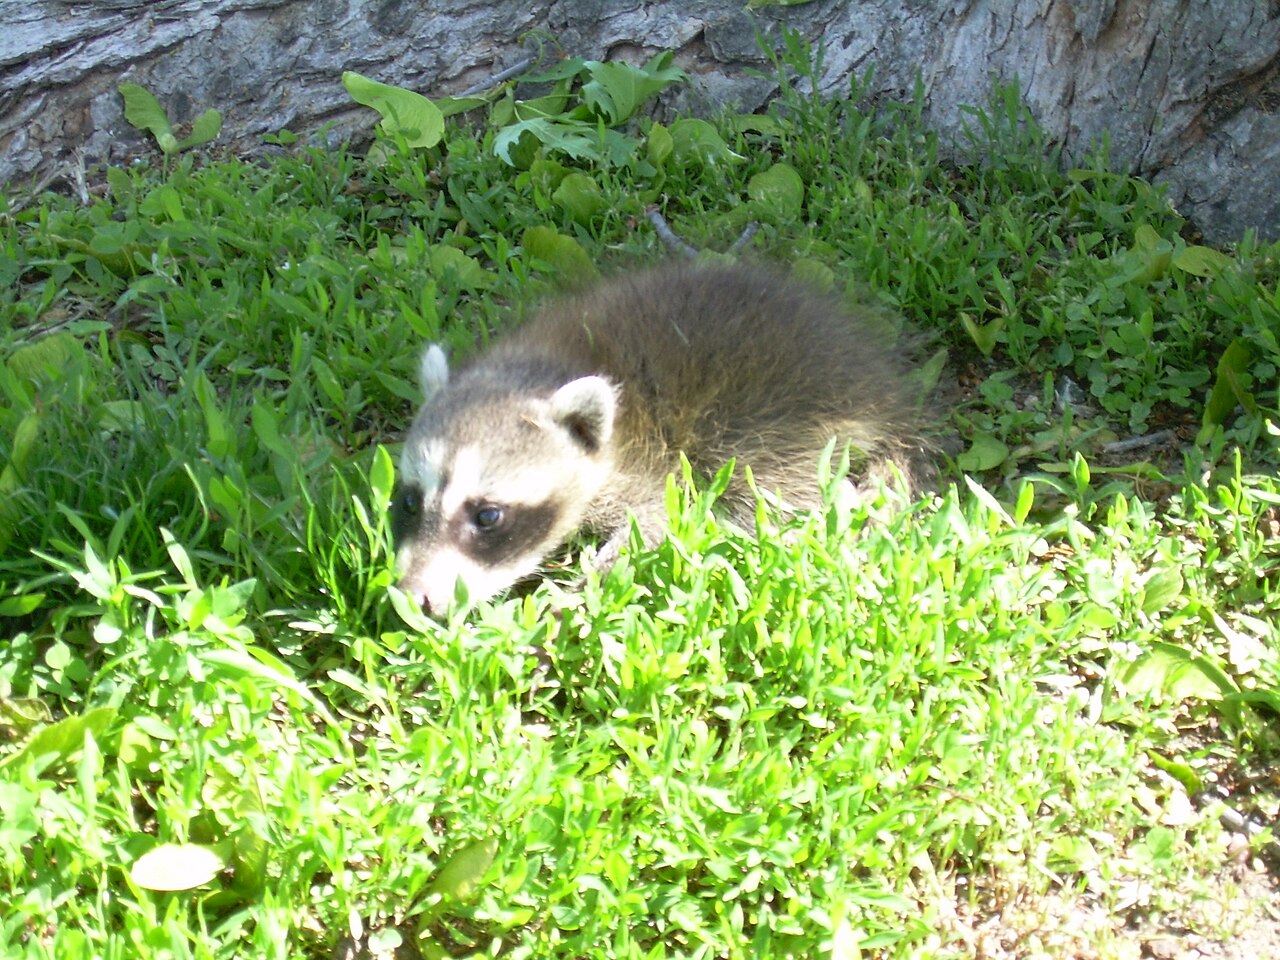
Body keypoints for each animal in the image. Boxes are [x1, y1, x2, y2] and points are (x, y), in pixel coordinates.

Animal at [391, 261, 930, 613]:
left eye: (487, 516)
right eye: (411, 502)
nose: (413, 598)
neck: (534, 371)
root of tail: (879, 388)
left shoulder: (641, 464)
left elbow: (652, 523)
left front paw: (575, 595)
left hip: (775, 418)